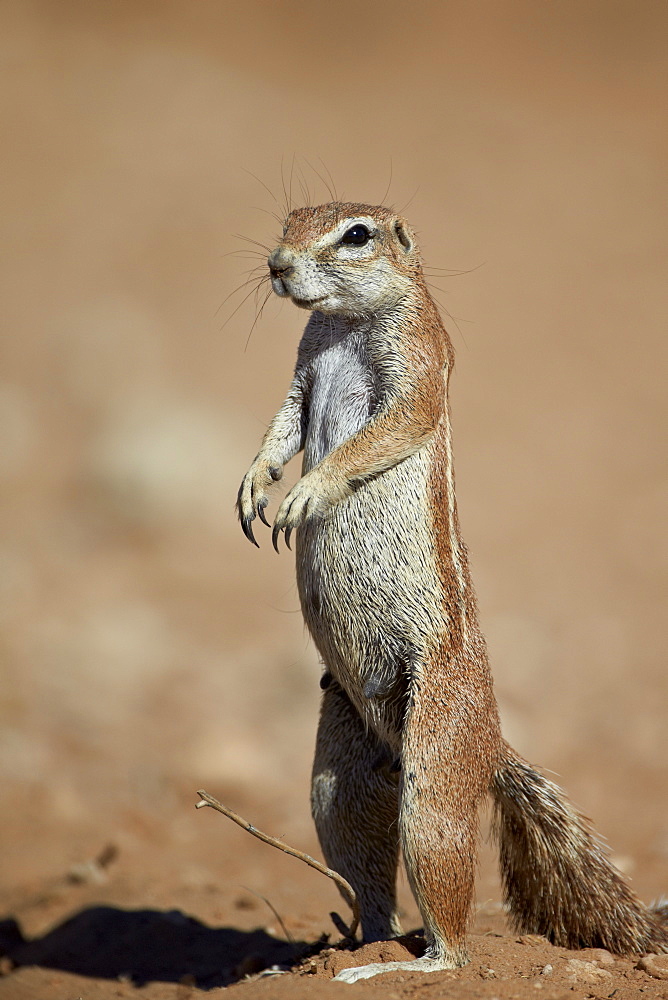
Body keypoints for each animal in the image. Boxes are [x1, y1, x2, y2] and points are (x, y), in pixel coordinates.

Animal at [236, 199, 668, 980]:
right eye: (289, 221)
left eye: (355, 235)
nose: (277, 266)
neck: (342, 324)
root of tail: (491, 746)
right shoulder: (301, 374)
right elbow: (281, 427)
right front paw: (256, 482)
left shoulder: (417, 366)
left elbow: (382, 432)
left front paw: (305, 493)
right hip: (339, 773)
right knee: (358, 850)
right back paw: (351, 946)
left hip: (435, 763)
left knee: (453, 927)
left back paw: (404, 964)